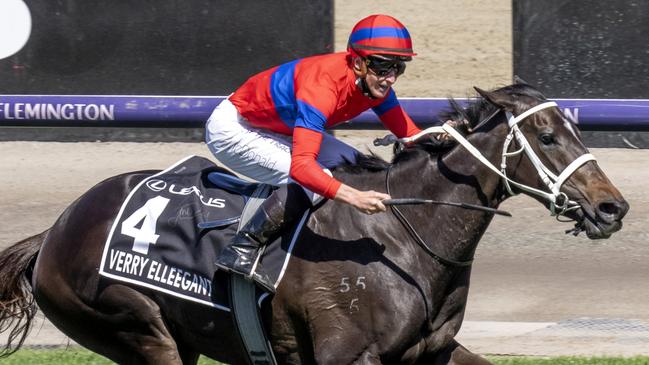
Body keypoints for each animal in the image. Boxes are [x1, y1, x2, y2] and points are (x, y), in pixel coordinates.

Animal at [0, 84, 628, 362]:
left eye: (574, 129)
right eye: (547, 137)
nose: (612, 208)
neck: (405, 237)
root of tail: (54, 230)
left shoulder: (434, 352)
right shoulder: (347, 356)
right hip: (137, 328)